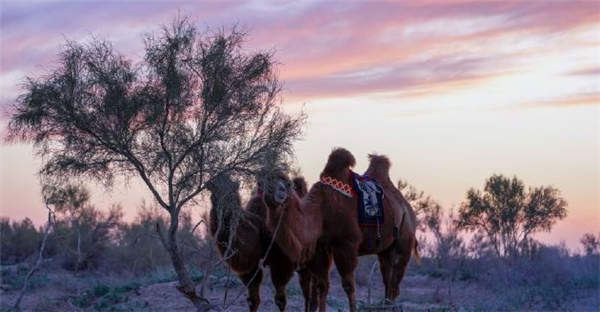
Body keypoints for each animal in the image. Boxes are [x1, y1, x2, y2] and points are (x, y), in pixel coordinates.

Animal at [262, 149, 422, 312]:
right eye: (266, 182)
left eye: (284, 185)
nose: (272, 194)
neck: (321, 210)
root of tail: (407, 208)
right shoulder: (321, 247)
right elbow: (322, 286)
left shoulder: (346, 244)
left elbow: (349, 286)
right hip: (385, 249)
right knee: (388, 280)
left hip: (404, 238)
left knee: (395, 278)